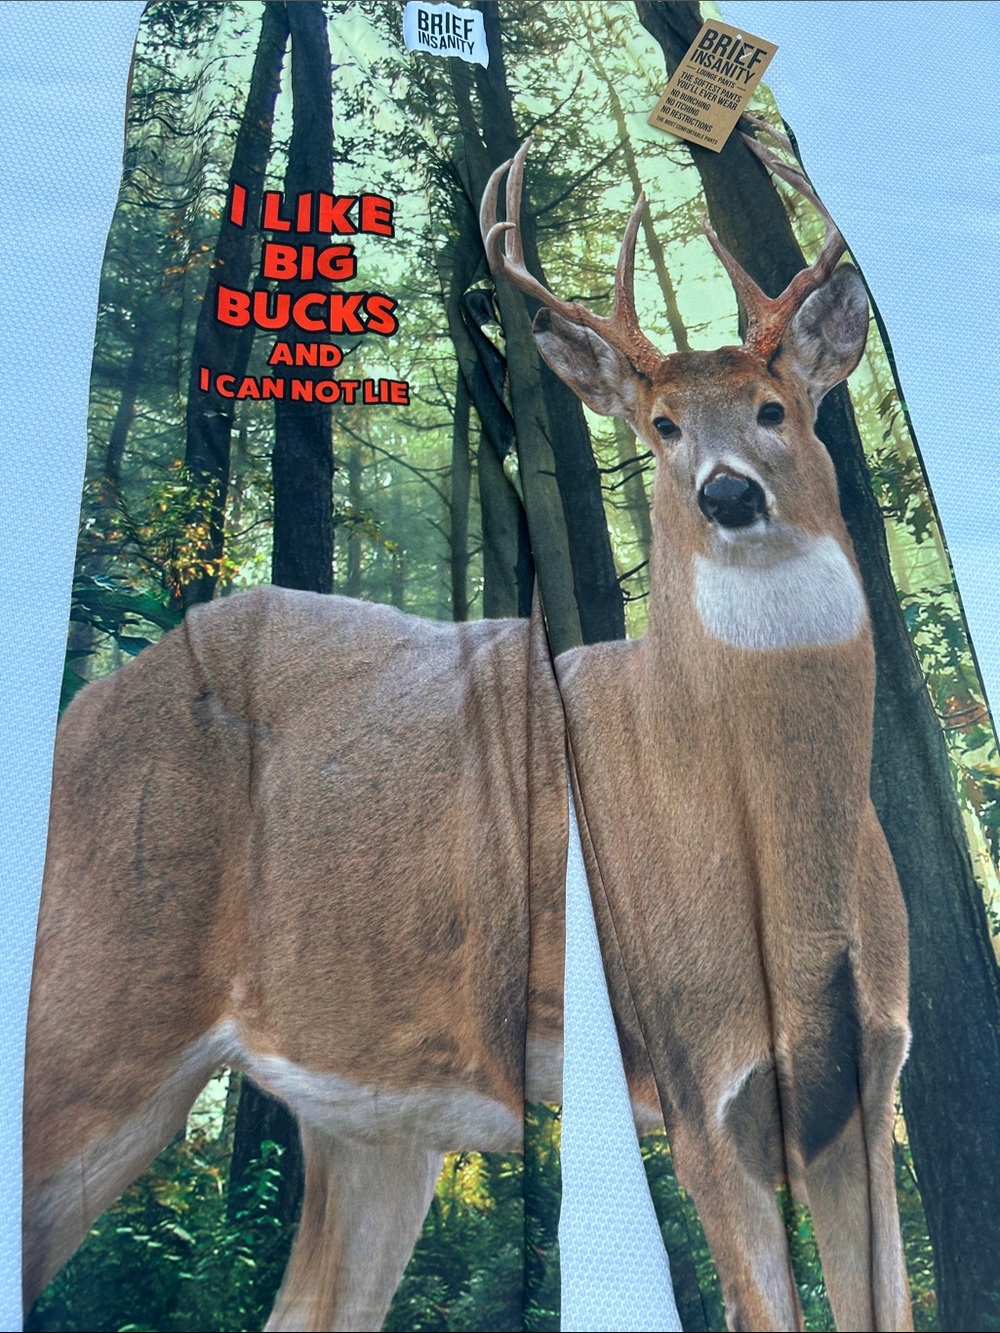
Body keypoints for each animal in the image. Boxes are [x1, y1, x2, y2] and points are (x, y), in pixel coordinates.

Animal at [22, 125, 912, 1333]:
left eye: (777, 408)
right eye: (663, 426)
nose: (727, 494)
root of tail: (89, 708)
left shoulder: (865, 1089)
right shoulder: (695, 1077)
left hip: (371, 1110)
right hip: (94, 999)